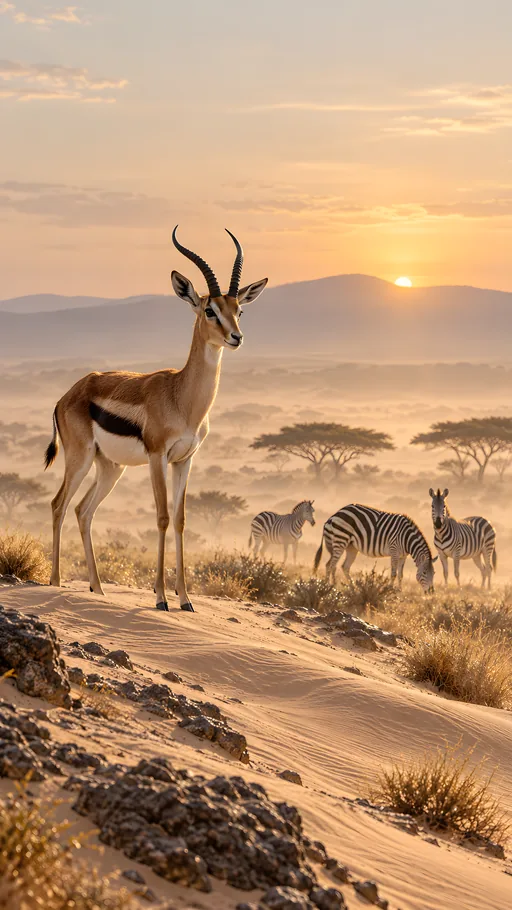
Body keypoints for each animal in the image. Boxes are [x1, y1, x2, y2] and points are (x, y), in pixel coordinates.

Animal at [44, 228, 267, 612]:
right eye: (209, 310)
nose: (236, 337)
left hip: (110, 468)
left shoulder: (185, 460)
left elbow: (179, 520)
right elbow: (162, 517)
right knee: (59, 505)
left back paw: (97, 589)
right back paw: (55, 582)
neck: (182, 397)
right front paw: (162, 597)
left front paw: (186, 599)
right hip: (80, 459)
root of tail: (67, 395)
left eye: (239, 310)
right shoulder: (156, 456)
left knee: (83, 511)